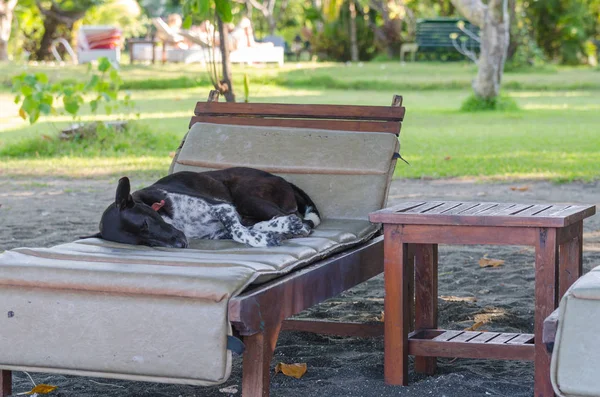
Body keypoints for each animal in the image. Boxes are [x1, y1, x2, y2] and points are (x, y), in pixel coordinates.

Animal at [86, 166, 322, 248]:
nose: (181, 244)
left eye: (145, 223)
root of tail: (285, 181)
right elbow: (241, 231)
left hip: (246, 196)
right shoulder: (219, 231)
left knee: (304, 222)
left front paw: (264, 239)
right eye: (143, 243)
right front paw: (267, 234)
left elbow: (238, 232)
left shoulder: (223, 207)